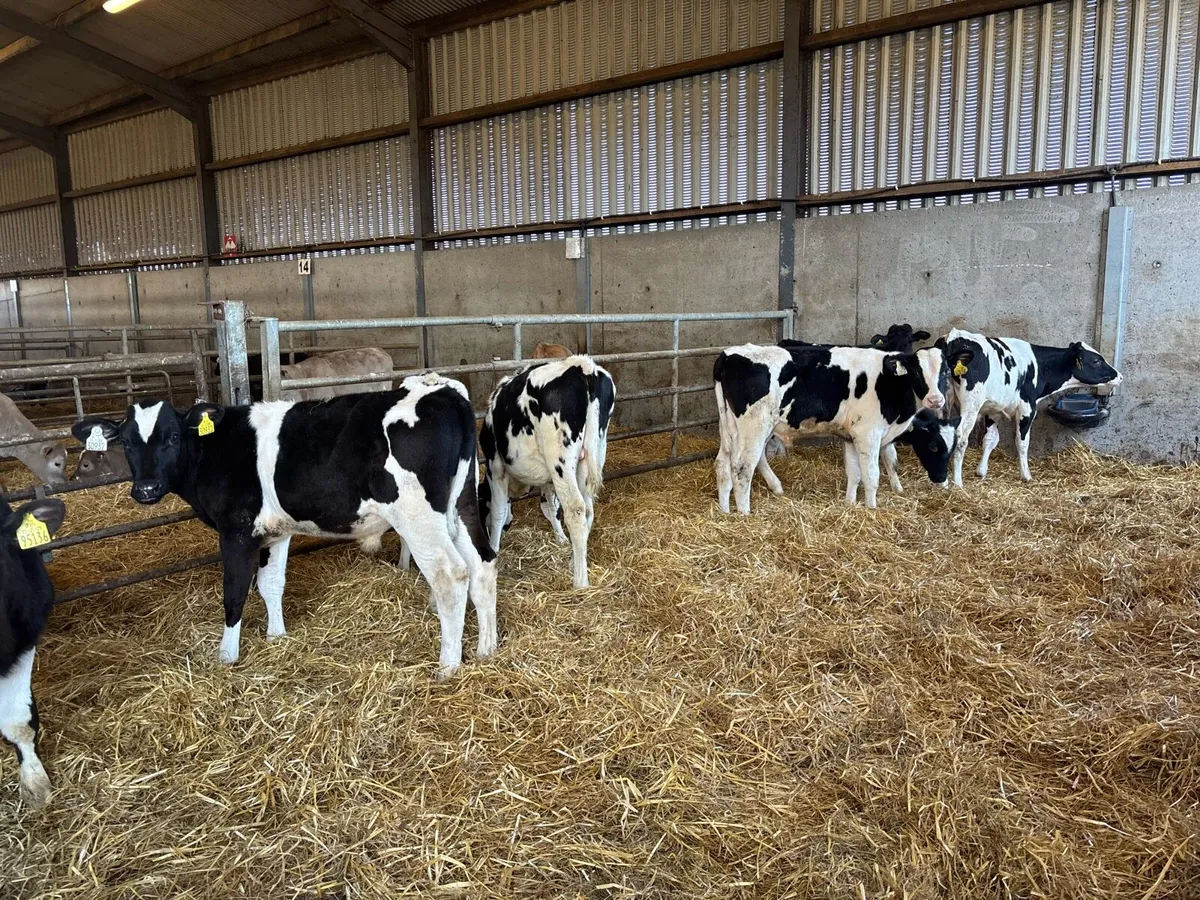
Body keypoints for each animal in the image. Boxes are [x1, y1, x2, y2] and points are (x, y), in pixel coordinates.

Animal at [72, 375, 497, 678]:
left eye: (173, 437)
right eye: (127, 442)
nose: (145, 489)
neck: (217, 448)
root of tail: (447, 395)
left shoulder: (236, 530)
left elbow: (234, 592)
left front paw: (227, 655)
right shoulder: (276, 531)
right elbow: (271, 583)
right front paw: (276, 635)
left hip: (418, 516)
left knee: (450, 575)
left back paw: (448, 665)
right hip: (463, 504)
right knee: (484, 563)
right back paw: (486, 648)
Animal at [478, 356, 616, 589]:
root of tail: (582, 366)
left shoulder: (495, 466)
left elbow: (497, 511)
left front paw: (493, 550)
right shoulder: (548, 479)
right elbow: (549, 506)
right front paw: (560, 539)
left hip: (560, 459)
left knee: (576, 509)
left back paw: (580, 581)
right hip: (591, 453)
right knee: (588, 509)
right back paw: (575, 560)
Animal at [713, 342, 947, 512]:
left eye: (944, 373)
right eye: (917, 372)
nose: (935, 400)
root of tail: (730, 354)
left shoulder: (851, 435)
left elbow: (854, 473)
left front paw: (850, 503)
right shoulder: (868, 434)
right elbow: (871, 475)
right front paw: (871, 509)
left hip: (730, 428)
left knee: (723, 464)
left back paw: (725, 511)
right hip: (755, 426)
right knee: (742, 468)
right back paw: (745, 513)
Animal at [937, 329, 1122, 485]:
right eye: (1096, 360)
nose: (1120, 376)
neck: (1039, 367)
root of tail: (953, 336)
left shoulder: (993, 408)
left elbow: (990, 439)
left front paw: (981, 471)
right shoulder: (1027, 408)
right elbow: (1022, 442)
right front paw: (1026, 475)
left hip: (941, 403)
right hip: (971, 405)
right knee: (960, 439)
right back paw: (958, 483)